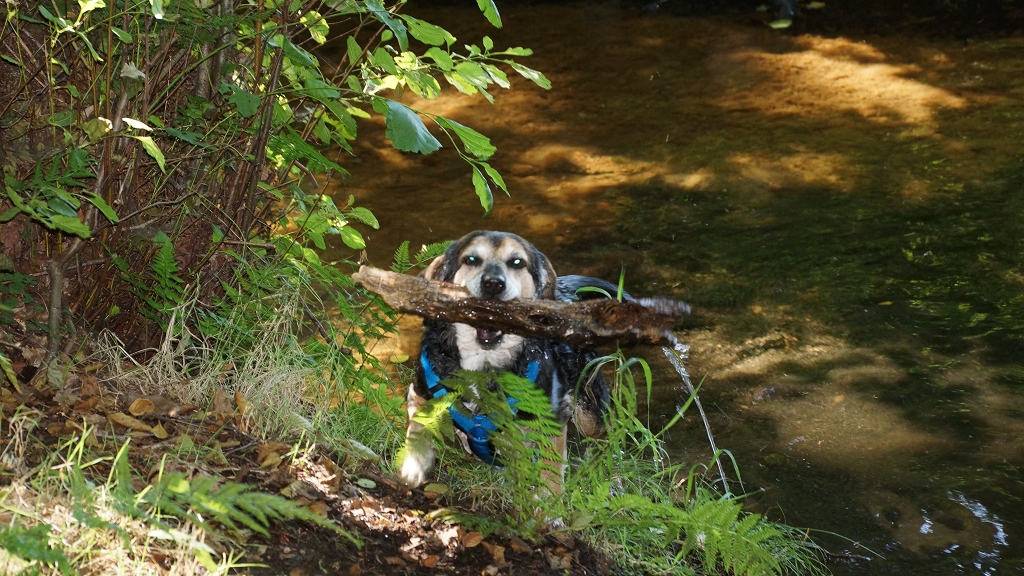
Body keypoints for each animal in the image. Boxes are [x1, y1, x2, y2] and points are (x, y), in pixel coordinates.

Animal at [395, 228, 626, 483]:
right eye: (471, 259)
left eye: (517, 262)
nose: (493, 284)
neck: (484, 361)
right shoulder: (420, 390)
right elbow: (417, 423)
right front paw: (415, 462)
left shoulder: (551, 419)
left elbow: (550, 474)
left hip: (590, 412)